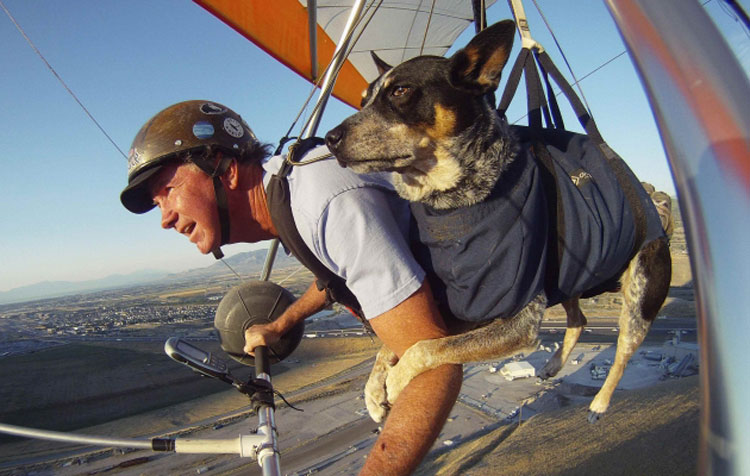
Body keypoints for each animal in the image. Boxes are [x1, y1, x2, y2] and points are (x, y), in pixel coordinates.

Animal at [326, 19, 672, 424]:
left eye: (401, 90)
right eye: (364, 99)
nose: (330, 138)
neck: (452, 202)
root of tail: (655, 206)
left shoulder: (516, 318)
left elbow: (428, 347)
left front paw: (395, 380)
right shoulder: (465, 304)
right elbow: (400, 343)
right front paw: (373, 389)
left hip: (640, 296)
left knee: (623, 349)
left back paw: (599, 403)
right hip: (568, 270)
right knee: (578, 318)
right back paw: (554, 365)